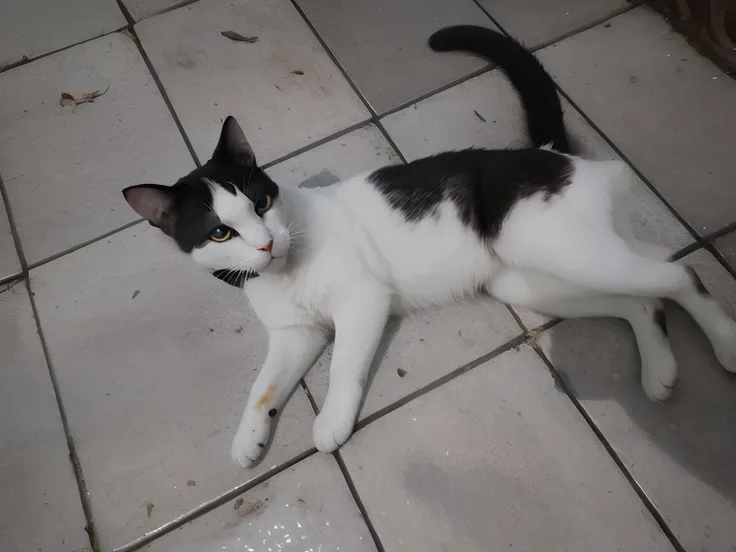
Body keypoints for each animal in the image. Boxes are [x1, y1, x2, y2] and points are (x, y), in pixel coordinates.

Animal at [122, 24, 736, 466]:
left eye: (261, 202)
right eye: (220, 232)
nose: (266, 244)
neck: (285, 270)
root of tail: (548, 153)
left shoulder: (362, 301)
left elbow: (342, 365)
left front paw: (331, 423)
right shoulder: (295, 334)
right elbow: (261, 386)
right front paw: (249, 439)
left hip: (563, 252)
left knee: (681, 273)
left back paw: (726, 345)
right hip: (537, 278)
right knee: (646, 290)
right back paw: (660, 370)